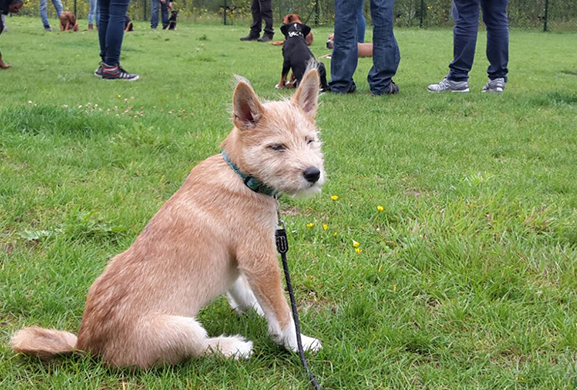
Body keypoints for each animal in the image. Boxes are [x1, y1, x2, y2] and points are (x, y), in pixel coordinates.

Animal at [11, 69, 324, 368]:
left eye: (310, 140)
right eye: (277, 147)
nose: (314, 173)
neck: (240, 174)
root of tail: (85, 346)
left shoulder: (240, 262)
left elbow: (248, 294)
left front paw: (258, 314)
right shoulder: (260, 258)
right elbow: (282, 309)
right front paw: (297, 342)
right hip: (186, 329)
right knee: (198, 349)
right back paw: (233, 347)